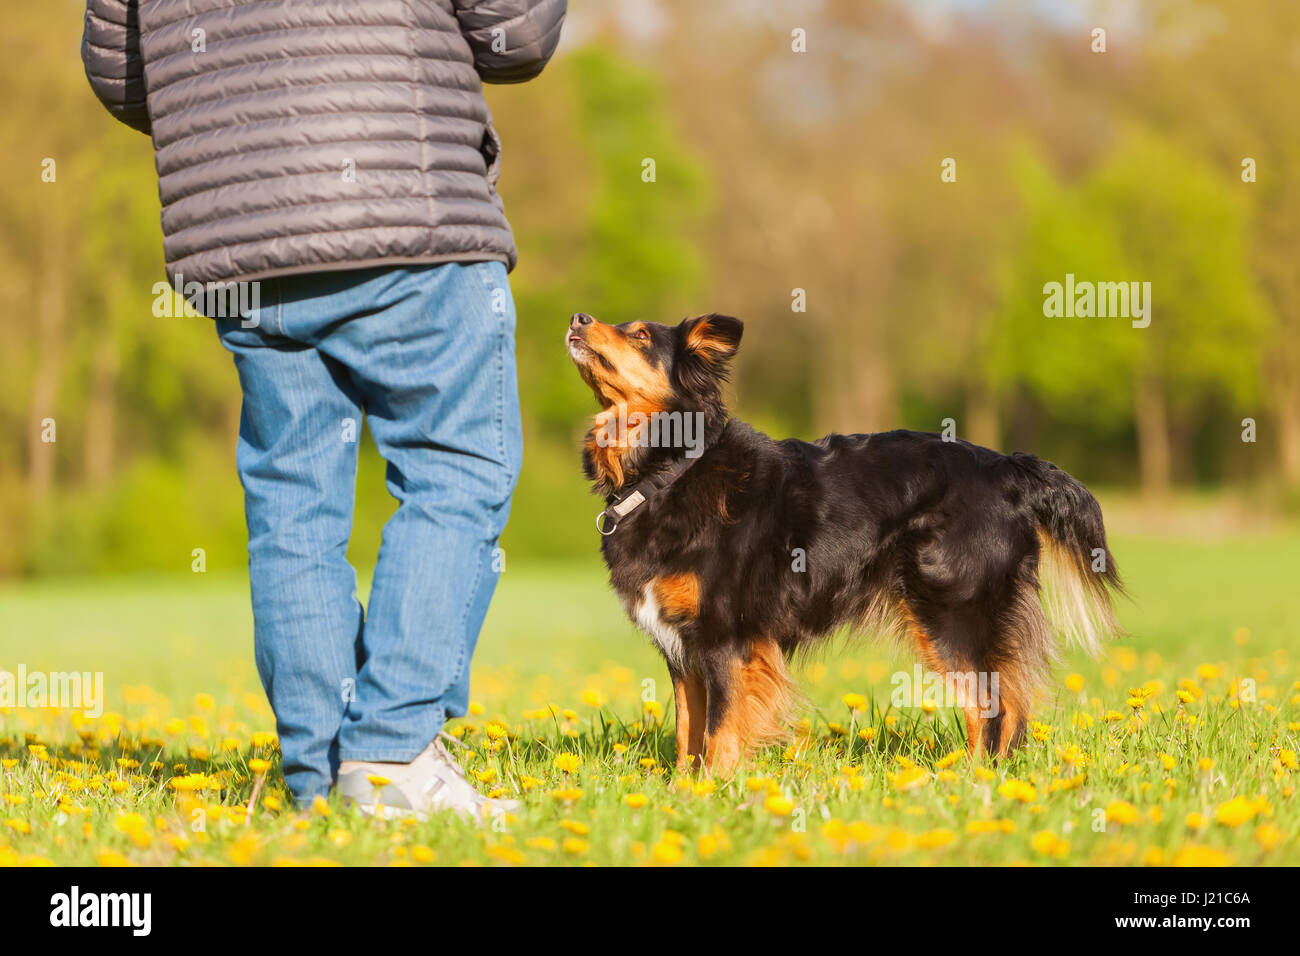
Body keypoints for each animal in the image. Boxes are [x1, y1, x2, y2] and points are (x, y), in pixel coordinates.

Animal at [564, 310, 1123, 775]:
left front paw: (715, 792)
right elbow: (688, 731)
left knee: (991, 708)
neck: (671, 467)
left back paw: (967, 781)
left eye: (640, 335)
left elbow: (720, 729)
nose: (578, 317)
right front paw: (684, 791)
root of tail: (1007, 467)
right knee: (1009, 705)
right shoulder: (683, 648)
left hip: (952, 612)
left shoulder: (728, 638)